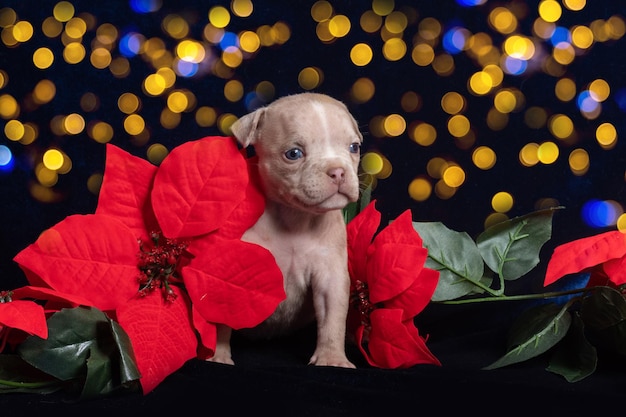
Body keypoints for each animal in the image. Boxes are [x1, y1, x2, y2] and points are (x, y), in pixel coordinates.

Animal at [211, 92, 360, 368]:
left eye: (353, 147)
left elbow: (332, 320)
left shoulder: (330, 277)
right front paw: (217, 355)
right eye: (294, 153)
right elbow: (223, 316)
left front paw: (332, 358)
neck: (295, 217)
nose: (338, 171)